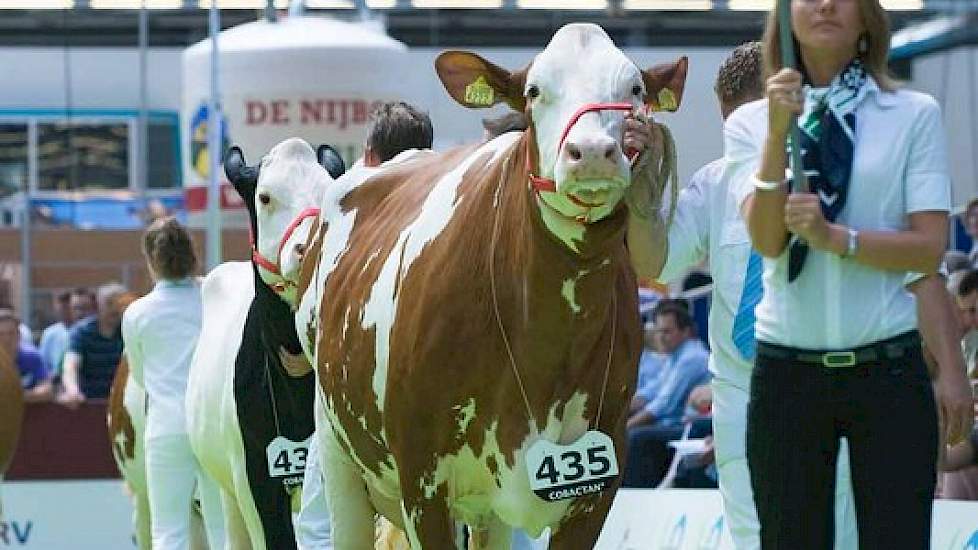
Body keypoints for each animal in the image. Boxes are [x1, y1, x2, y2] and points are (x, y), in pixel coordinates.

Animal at [280, 22, 688, 550]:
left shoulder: (598, 484)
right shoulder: (423, 483)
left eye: (635, 89)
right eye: (534, 91)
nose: (594, 153)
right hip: (339, 452)